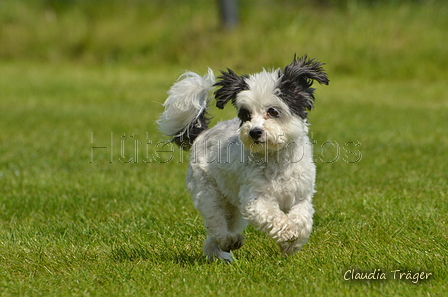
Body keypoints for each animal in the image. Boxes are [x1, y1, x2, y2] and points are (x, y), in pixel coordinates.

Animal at [158, 55, 328, 262]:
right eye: (246, 114)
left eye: (273, 111)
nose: (254, 132)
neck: (276, 159)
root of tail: (202, 134)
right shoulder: (255, 200)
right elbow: (273, 216)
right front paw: (288, 231)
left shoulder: (301, 196)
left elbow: (303, 220)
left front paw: (291, 244)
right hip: (208, 193)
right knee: (216, 224)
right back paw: (227, 242)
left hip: (233, 207)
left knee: (216, 234)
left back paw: (220, 252)